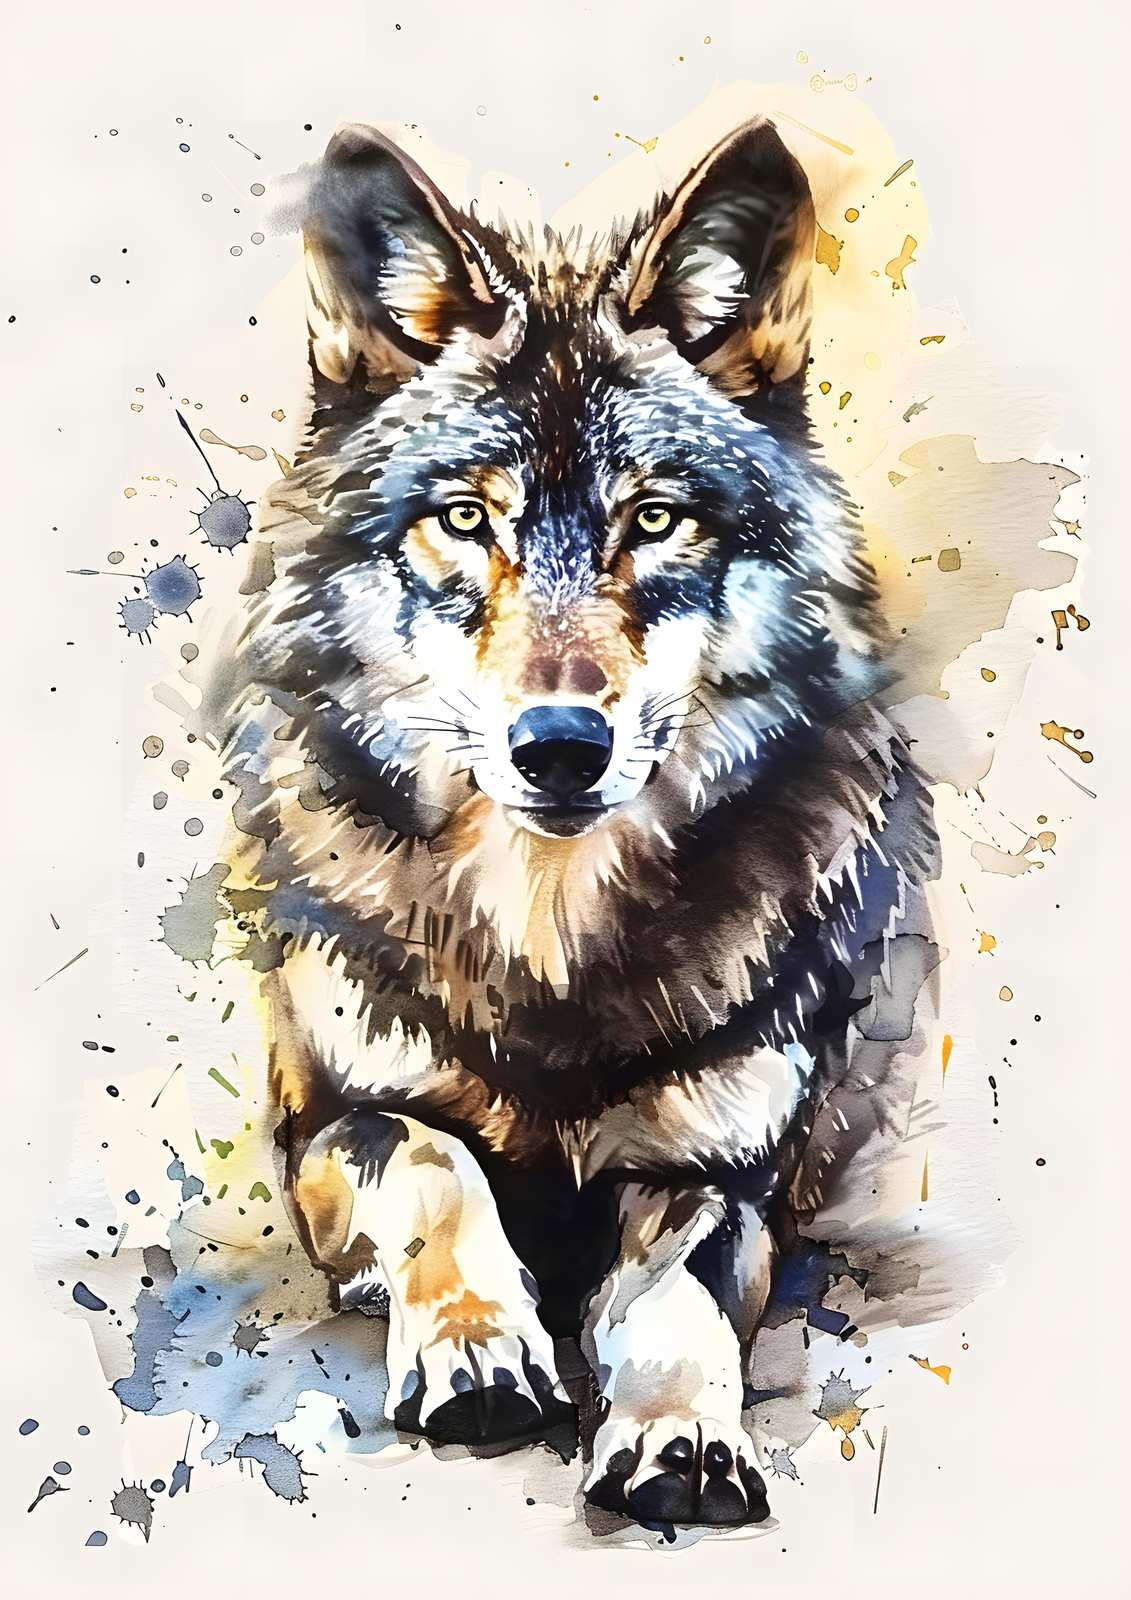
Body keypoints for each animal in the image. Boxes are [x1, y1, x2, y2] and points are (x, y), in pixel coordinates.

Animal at [216, 116, 939, 1529]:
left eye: (653, 519)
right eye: (465, 518)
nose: (559, 747)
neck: (547, 943)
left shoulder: (723, 1173)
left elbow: (677, 1308)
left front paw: (679, 1437)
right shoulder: (332, 1120)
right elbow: (434, 1165)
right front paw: (481, 1347)